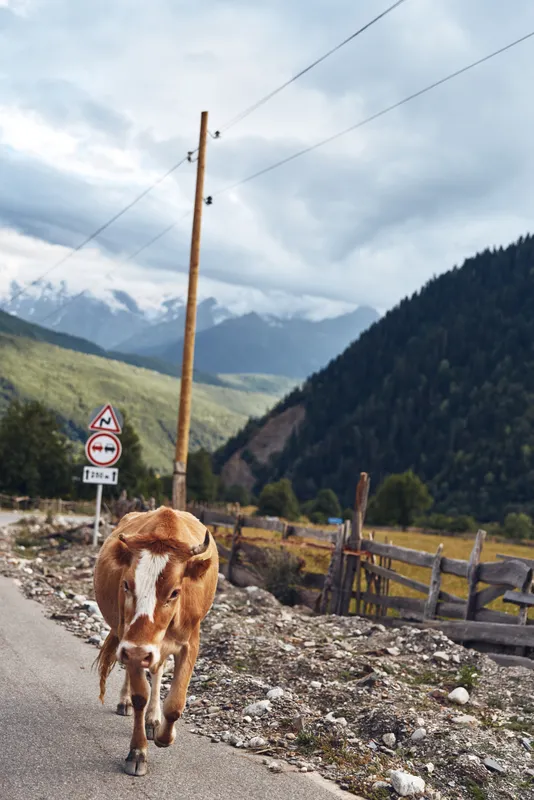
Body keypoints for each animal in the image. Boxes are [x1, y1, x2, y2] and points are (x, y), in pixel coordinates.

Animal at [93, 506, 218, 776]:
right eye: (126, 584)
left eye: (174, 592)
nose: (140, 652)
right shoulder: (131, 644)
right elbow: (141, 693)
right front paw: (138, 752)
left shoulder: (190, 643)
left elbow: (176, 703)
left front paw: (164, 735)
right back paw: (125, 702)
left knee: (158, 669)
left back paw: (153, 719)